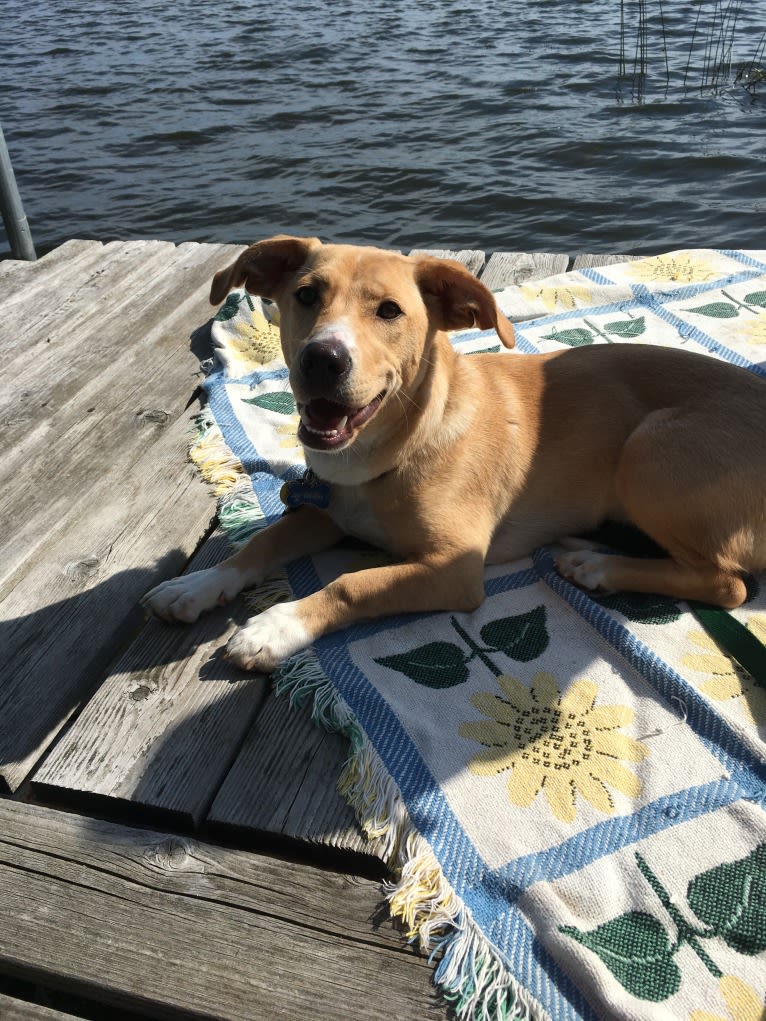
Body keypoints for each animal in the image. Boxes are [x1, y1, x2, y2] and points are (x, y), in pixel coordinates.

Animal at [142, 234, 766, 673]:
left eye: (390, 311)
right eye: (305, 296)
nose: (322, 359)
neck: (394, 452)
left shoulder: (455, 567)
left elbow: (350, 584)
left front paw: (275, 627)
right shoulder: (326, 511)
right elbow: (265, 541)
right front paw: (196, 585)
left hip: (650, 447)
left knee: (728, 584)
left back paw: (600, 566)